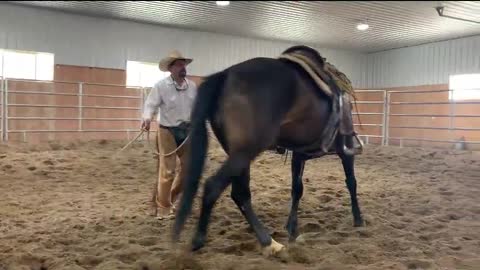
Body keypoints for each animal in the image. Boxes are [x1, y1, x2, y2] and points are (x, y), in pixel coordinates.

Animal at [172, 45, 364, 256]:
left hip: (239, 154)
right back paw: (206, 239)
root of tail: (225, 75)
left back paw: (267, 241)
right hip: (245, 152)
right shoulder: (344, 151)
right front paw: (358, 219)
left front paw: (292, 228)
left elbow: (297, 189)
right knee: (214, 187)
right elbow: (351, 182)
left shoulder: (299, 155)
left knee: (240, 194)